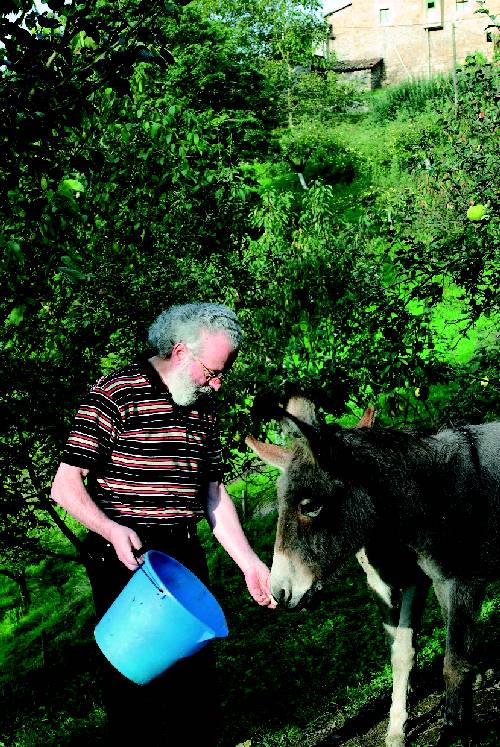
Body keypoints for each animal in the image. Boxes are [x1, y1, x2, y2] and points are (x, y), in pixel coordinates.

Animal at [246, 397, 500, 747]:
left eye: (310, 506)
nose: (278, 592)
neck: (431, 497)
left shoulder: (457, 582)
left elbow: (453, 662)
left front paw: (454, 730)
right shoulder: (430, 584)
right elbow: (410, 652)